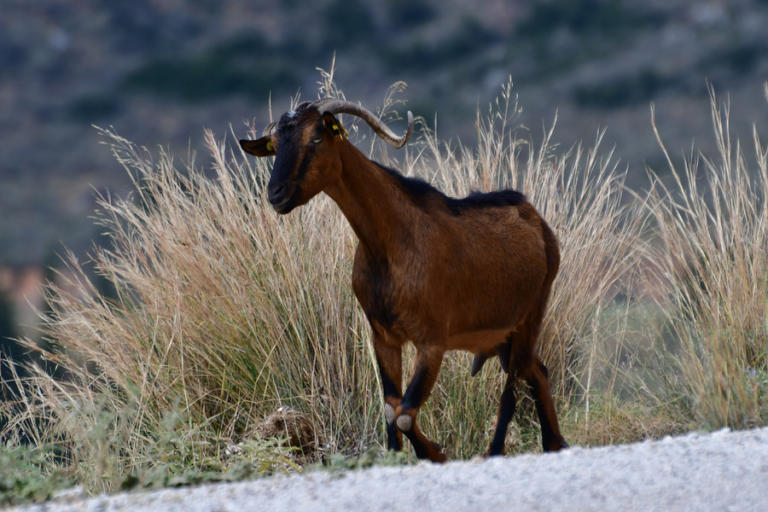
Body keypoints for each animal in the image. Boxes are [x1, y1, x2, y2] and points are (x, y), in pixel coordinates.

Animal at [240, 98, 568, 462]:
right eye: (275, 144)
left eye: (315, 138)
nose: (276, 194)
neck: (389, 244)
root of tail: (537, 222)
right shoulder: (383, 337)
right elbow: (390, 409)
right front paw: (399, 455)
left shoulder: (432, 342)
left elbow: (405, 415)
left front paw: (436, 454)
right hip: (501, 337)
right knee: (537, 371)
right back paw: (555, 443)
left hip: (529, 316)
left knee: (513, 387)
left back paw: (496, 451)